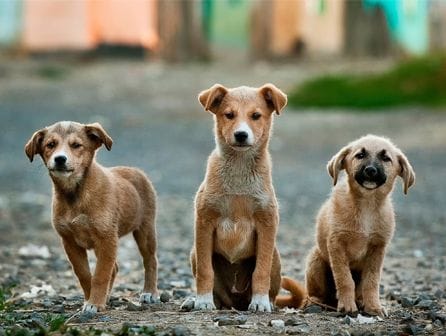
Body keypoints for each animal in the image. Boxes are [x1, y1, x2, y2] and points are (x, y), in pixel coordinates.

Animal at [24, 122, 159, 314]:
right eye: (50, 145)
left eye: (76, 145)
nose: (60, 159)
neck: (75, 194)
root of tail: (136, 170)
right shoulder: (70, 242)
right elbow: (85, 274)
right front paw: (92, 299)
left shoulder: (106, 239)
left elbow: (100, 274)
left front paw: (95, 303)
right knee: (115, 268)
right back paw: (108, 297)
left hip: (145, 230)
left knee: (150, 260)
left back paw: (149, 292)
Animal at [190, 82, 288, 312]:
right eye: (229, 115)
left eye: (256, 115)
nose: (241, 135)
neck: (239, 171)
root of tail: (235, 303)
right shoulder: (204, 222)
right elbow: (205, 271)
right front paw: (203, 300)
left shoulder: (267, 223)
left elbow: (260, 271)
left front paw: (260, 302)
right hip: (193, 253)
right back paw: (195, 301)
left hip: (276, 256)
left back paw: (267, 302)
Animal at [302, 135, 416, 316]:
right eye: (360, 155)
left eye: (386, 158)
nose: (370, 170)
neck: (367, 205)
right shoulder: (337, 244)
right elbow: (344, 279)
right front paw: (347, 306)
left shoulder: (377, 249)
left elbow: (372, 281)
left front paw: (374, 307)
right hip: (316, 260)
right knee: (315, 293)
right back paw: (315, 303)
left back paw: (361, 302)